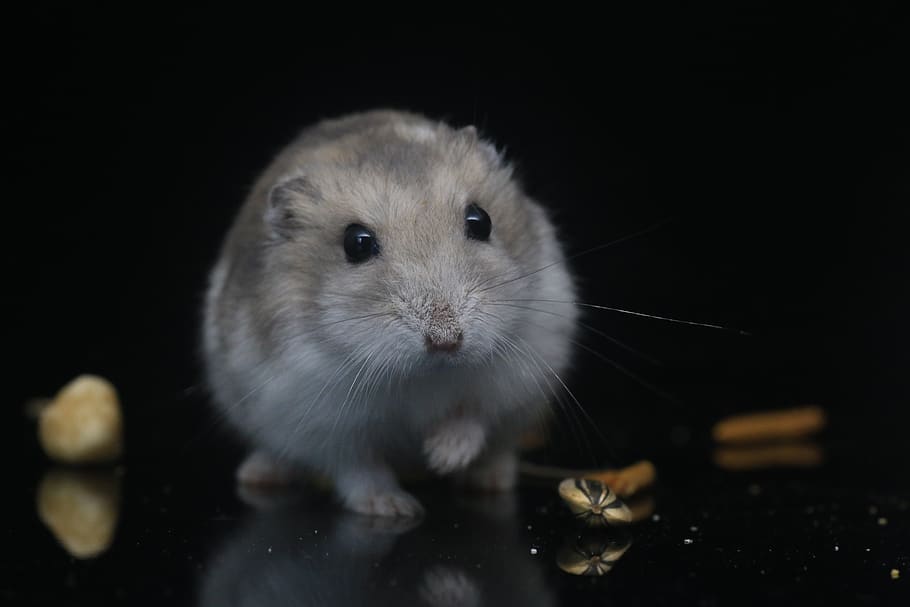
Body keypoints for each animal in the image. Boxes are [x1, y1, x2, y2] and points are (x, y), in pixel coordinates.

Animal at [202, 110, 578, 516]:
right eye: (356, 243)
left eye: (481, 220)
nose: (446, 341)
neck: (424, 374)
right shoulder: (319, 419)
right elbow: (359, 468)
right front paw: (396, 508)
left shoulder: (516, 373)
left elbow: (472, 414)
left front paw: (441, 457)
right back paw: (258, 474)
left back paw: (488, 481)